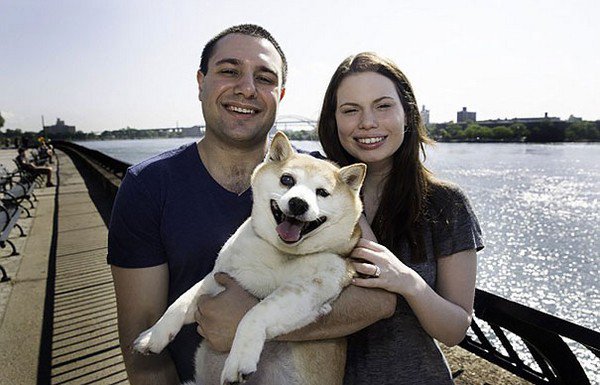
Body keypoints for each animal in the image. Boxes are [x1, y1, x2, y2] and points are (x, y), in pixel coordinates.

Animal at [134, 133, 366, 384]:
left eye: (322, 193)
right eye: (287, 179)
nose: (298, 203)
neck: (281, 253)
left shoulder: (313, 286)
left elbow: (256, 312)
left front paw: (239, 359)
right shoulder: (219, 276)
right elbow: (179, 302)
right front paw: (153, 336)